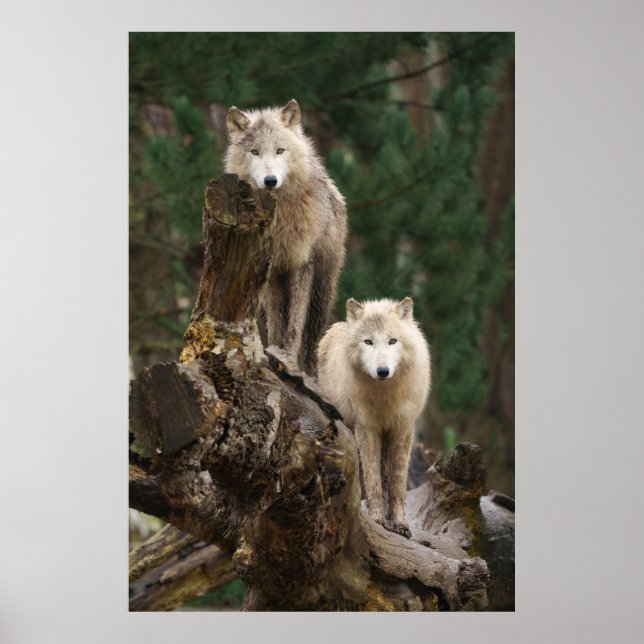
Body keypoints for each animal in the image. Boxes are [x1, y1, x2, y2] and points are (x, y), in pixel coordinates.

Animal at [225, 99, 347, 375]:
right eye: (255, 152)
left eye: (280, 150)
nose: (270, 180)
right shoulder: (271, 272)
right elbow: (276, 324)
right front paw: (274, 358)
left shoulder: (302, 264)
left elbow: (294, 324)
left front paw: (288, 358)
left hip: (322, 291)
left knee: (314, 337)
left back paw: (313, 376)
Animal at [317, 297, 431, 537]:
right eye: (368, 342)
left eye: (392, 341)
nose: (382, 371)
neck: (385, 397)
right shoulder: (367, 428)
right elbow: (372, 478)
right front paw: (378, 519)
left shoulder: (402, 430)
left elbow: (397, 484)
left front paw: (400, 524)